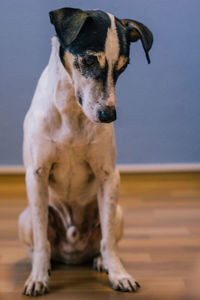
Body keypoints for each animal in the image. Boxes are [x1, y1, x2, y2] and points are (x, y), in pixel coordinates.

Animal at [18, 6, 153, 296]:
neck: (72, 112)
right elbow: (41, 241)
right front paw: (38, 278)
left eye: (123, 67)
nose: (109, 116)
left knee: (103, 240)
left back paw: (101, 261)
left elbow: (109, 241)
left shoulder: (109, 175)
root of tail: (72, 254)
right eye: (89, 60)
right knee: (39, 244)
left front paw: (119, 274)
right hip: (26, 218)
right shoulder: (36, 175)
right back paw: (45, 265)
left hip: (117, 211)